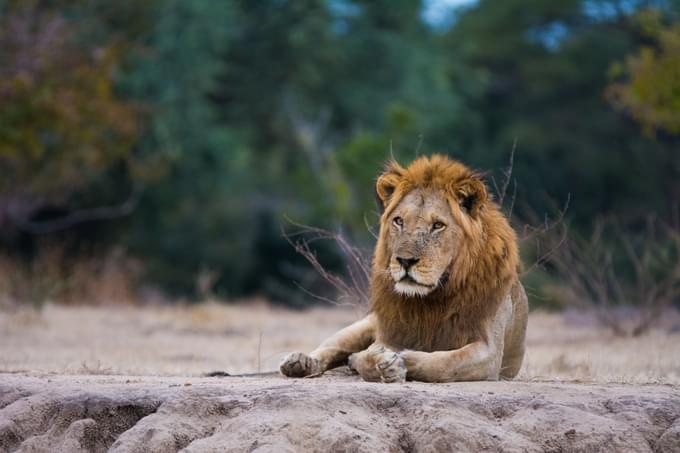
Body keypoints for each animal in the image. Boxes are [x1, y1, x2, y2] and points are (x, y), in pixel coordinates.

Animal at [278, 153, 528, 382]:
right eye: (399, 221)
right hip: (364, 325)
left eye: (438, 225)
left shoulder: (490, 352)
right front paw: (382, 362)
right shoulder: (388, 333)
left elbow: (445, 363)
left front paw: (400, 360)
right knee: (331, 347)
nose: (405, 261)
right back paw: (300, 362)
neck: (433, 298)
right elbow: (367, 355)